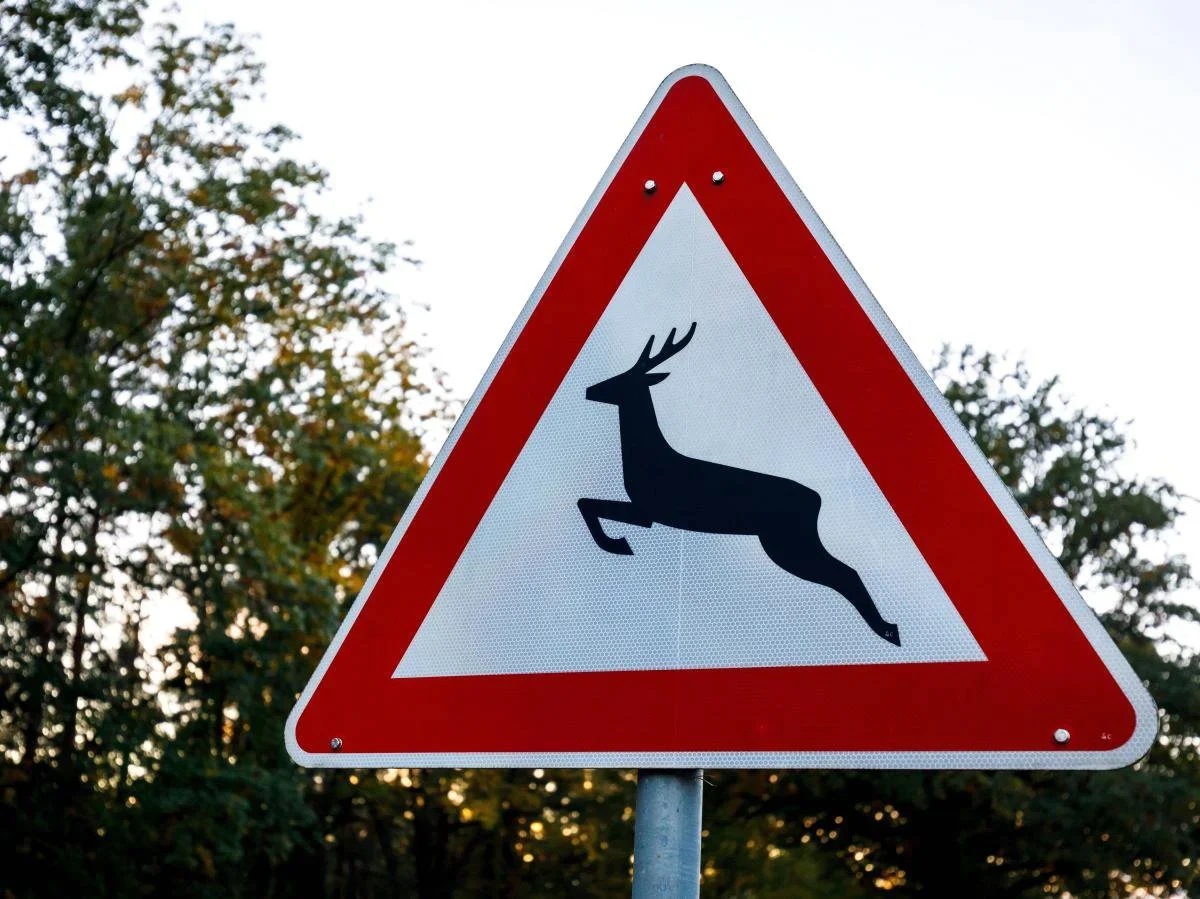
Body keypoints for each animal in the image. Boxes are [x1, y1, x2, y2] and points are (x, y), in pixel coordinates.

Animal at [577, 322, 901, 647]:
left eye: (623, 380)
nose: (589, 389)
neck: (648, 458)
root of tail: (817, 500)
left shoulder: (648, 510)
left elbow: (587, 505)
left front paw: (617, 543)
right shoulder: (647, 511)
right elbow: (586, 503)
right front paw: (617, 542)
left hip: (788, 543)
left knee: (846, 573)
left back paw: (888, 630)